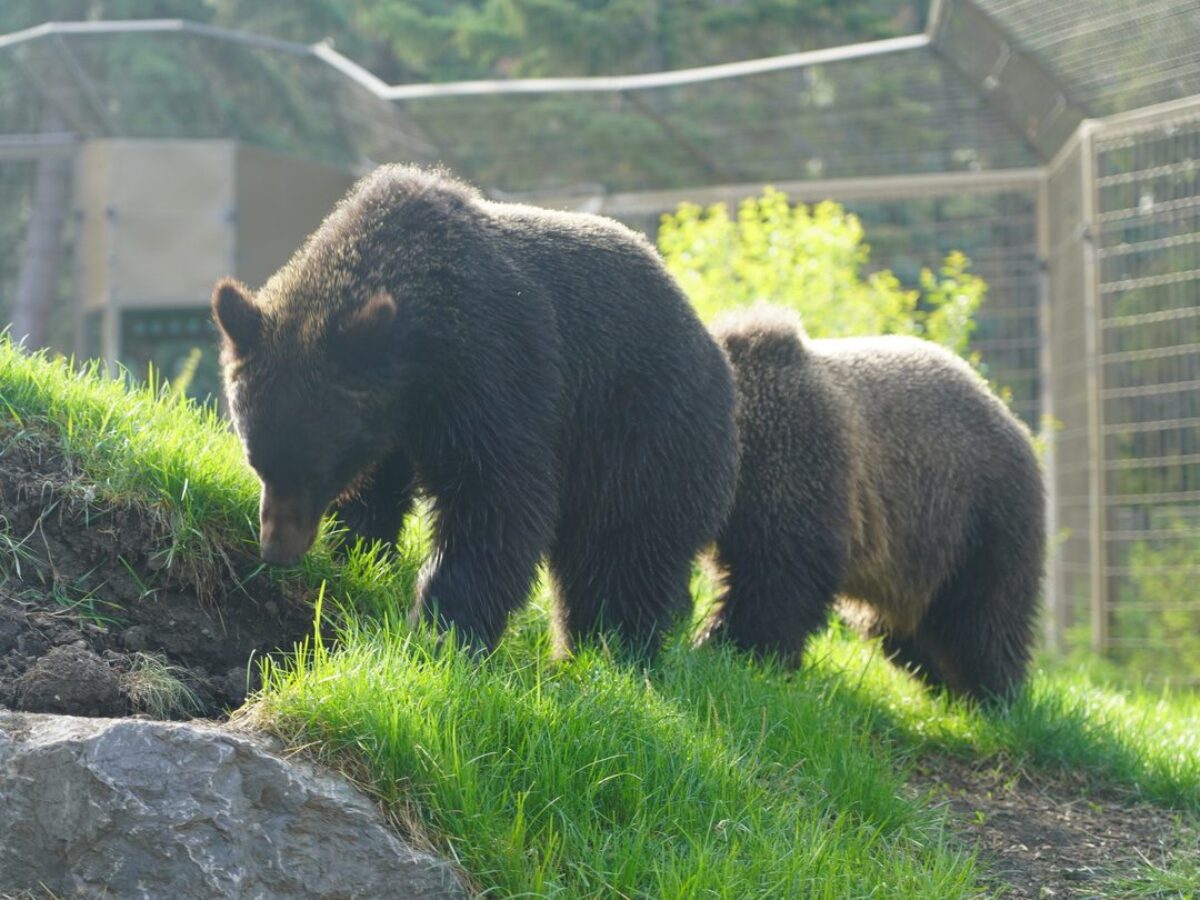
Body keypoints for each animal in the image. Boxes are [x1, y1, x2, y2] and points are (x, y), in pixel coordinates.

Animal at [212, 165, 739, 656]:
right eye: (257, 462)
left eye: (317, 470)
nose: (276, 550)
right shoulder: (392, 420)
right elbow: (378, 494)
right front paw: (358, 551)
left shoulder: (493, 371)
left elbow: (496, 499)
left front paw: (443, 627)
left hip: (642, 433)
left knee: (622, 554)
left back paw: (611, 649)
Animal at [698, 307, 1044, 702]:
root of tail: (1012, 417)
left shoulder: (794, 458)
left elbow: (780, 573)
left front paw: (732, 648)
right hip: (916, 558)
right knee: (911, 629)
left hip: (980, 513)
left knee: (985, 613)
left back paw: (991, 691)